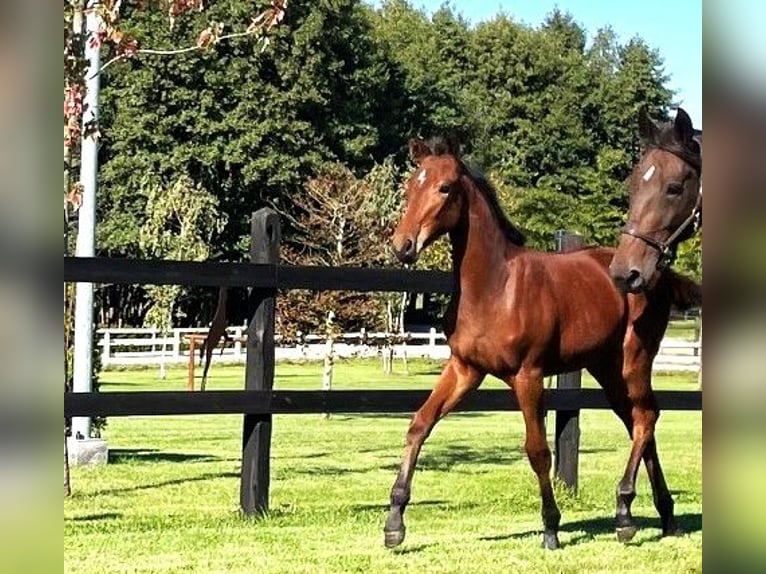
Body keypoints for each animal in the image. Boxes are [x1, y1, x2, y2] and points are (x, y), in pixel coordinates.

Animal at [384, 135, 700, 550]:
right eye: (410, 186)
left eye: (445, 188)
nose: (402, 245)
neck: (494, 287)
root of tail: (650, 272)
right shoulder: (465, 369)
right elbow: (419, 424)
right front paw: (394, 522)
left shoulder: (528, 375)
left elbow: (537, 451)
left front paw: (551, 527)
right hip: (607, 370)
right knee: (639, 426)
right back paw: (664, 515)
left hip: (634, 360)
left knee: (646, 418)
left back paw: (624, 514)